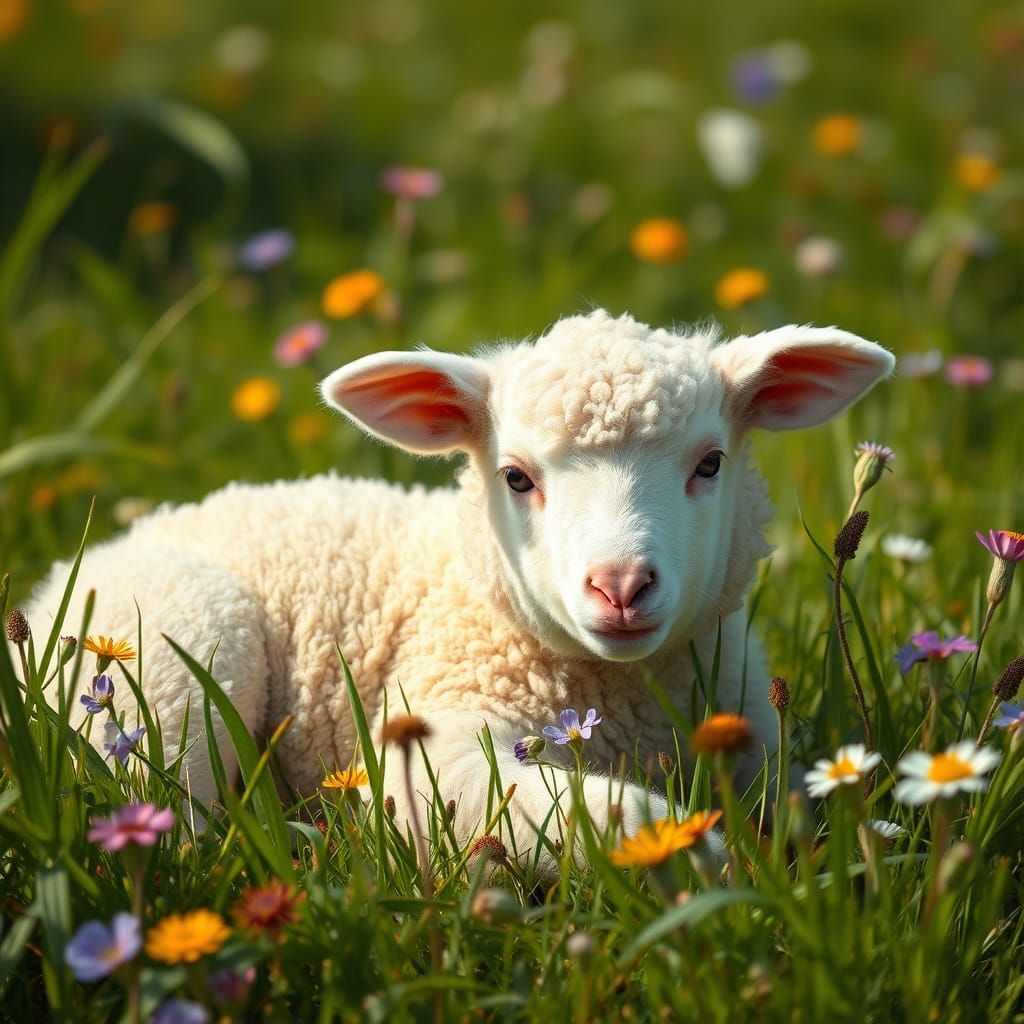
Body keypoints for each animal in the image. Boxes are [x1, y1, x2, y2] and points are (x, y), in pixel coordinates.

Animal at [23, 308, 894, 860]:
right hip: (171, 660)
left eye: (710, 463)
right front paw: (687, 846)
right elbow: (571, 812)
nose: (620, 586)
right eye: (516, 477)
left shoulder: (758, 744)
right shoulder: (432, 737)